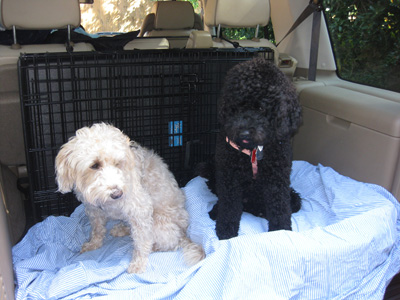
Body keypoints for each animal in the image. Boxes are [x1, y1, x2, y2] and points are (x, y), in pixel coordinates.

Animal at [54, 123, 205, 274]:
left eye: (118, 163)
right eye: (94, 165)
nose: (117, 194)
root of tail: (184, 233)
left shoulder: (140, 210)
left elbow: (142, 242)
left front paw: (138, 263)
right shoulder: (94, 210)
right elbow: (97, 229)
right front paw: (93, 244)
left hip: (159, 224)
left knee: (170, 242)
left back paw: (154, 247)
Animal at [206, 56, 300, 240]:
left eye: (262, 108)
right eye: (236, 106)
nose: (244, 132)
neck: (254, 151)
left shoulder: (277, 179)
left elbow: (279, 207)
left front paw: (281, 231)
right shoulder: (230, 177)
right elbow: (229, 206)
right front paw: (226, 230)